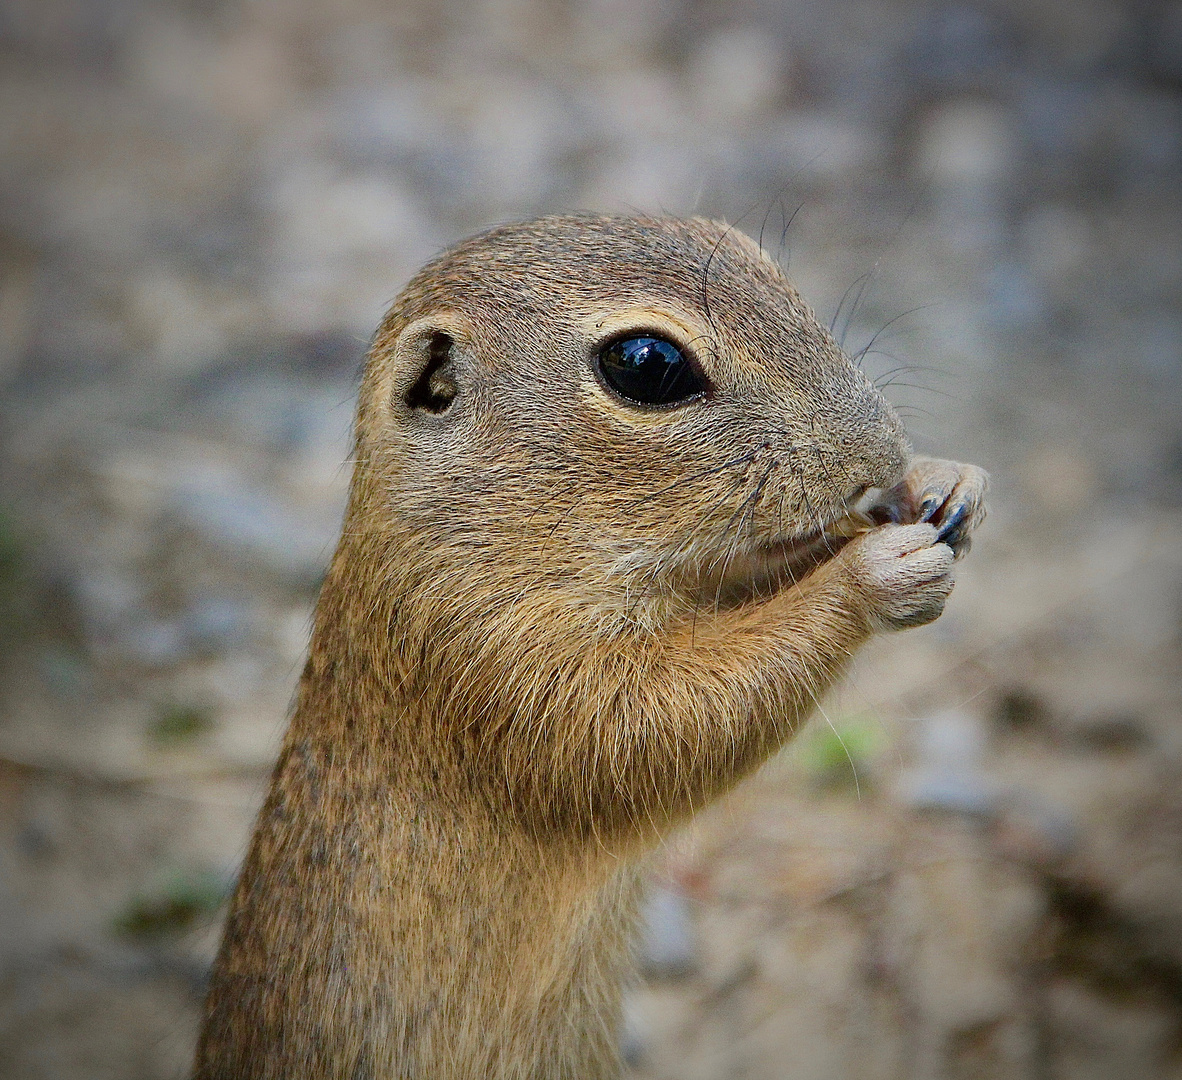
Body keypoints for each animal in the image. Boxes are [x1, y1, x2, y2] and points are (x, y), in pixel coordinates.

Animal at [196, 215, 988, 1072]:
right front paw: (875, 571)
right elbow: (643, 727)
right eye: (646, 363)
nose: (882, 452)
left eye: (757, 257)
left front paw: (947, 483)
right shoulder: (488, 647)